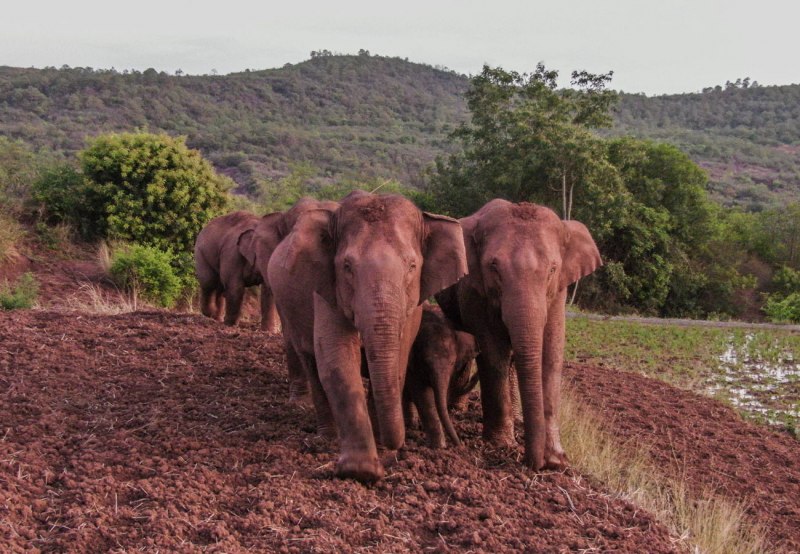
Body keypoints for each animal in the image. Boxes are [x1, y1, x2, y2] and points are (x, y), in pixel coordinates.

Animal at [267, 191, 467, 482]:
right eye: (347, 266)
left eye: (412, 265)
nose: (395, 447)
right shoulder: (327, 289)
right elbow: (337, 358)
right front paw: (362, 471)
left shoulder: (414, 304)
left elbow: (400, 359)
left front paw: (381, 449)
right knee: (310, 360)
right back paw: (327, 438)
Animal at [436, 199, 602, 471]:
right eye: (493, 267)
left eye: (553, 269)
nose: (538, 464)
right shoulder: (475, 289)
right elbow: (493, 354)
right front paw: (501, 444)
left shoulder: (559, 292)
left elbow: (551, 355)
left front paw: (557, 459)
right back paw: (458, 409)